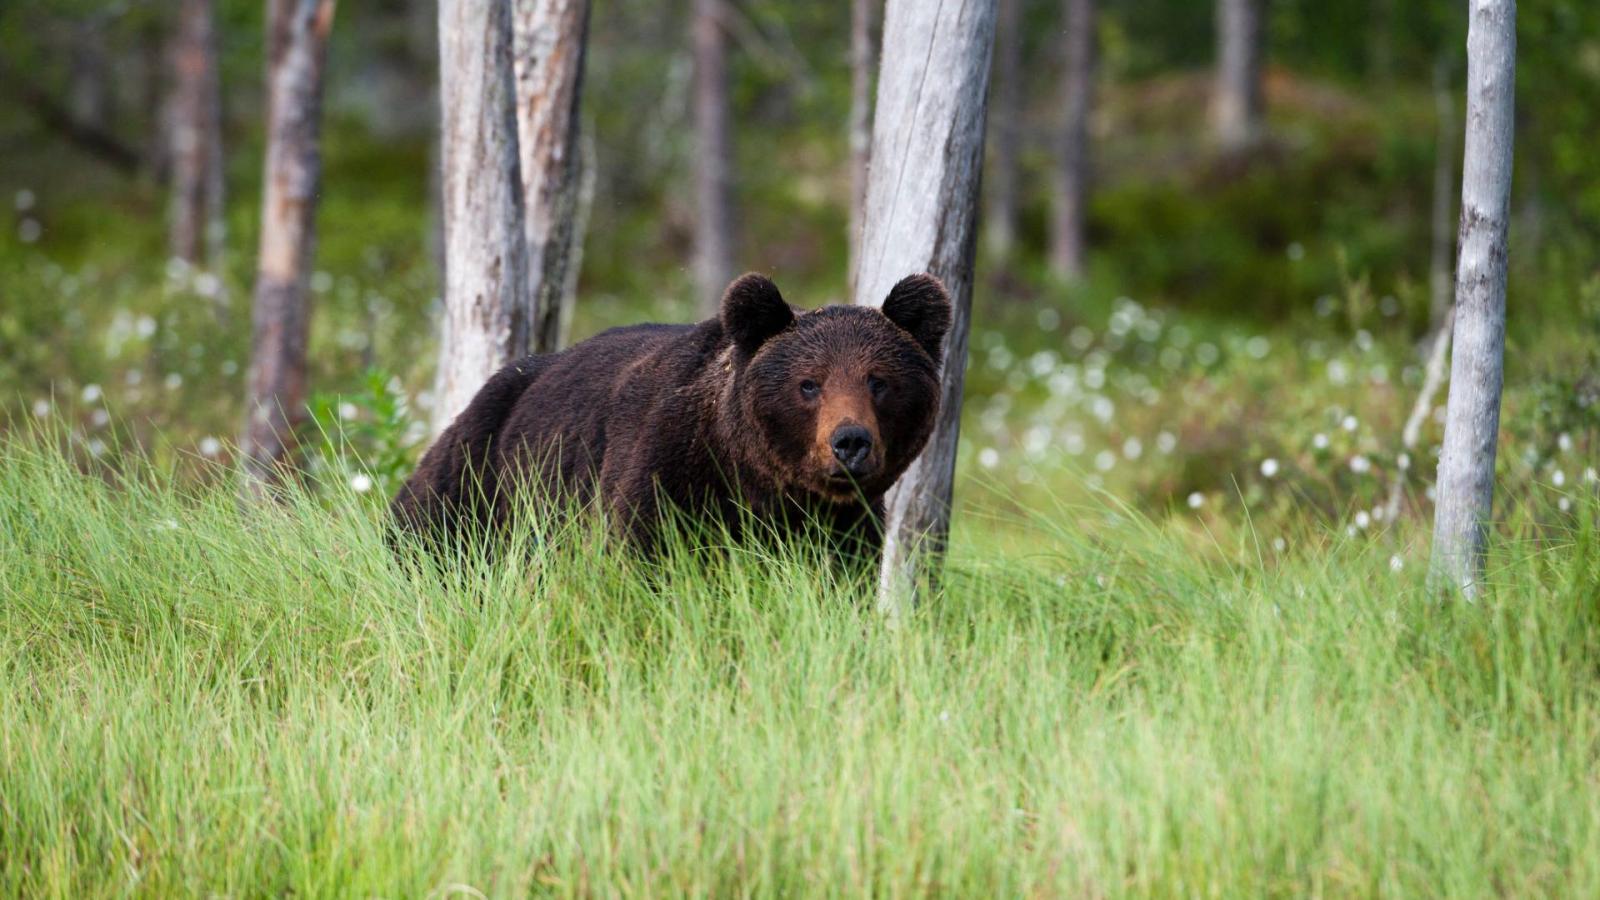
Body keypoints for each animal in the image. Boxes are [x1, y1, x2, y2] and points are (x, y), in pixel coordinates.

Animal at [390, 269, 947, 557]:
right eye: (808, 384)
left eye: (879, 381)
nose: (850, 441)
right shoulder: (664, 476)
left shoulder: (842, 524)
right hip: (477, 480)